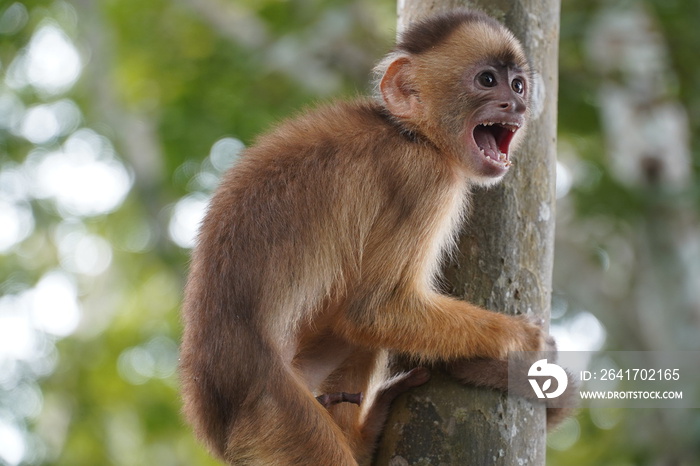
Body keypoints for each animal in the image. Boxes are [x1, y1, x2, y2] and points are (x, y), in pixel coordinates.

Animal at [182, 8, 576, 466]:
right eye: (487, 80)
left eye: (517, 84)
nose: (517, 105)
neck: (409, 133)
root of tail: (213, 420)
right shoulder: (425, 180)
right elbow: (373, 309)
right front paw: (522, 340)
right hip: (276, 415)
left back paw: (362, 436)